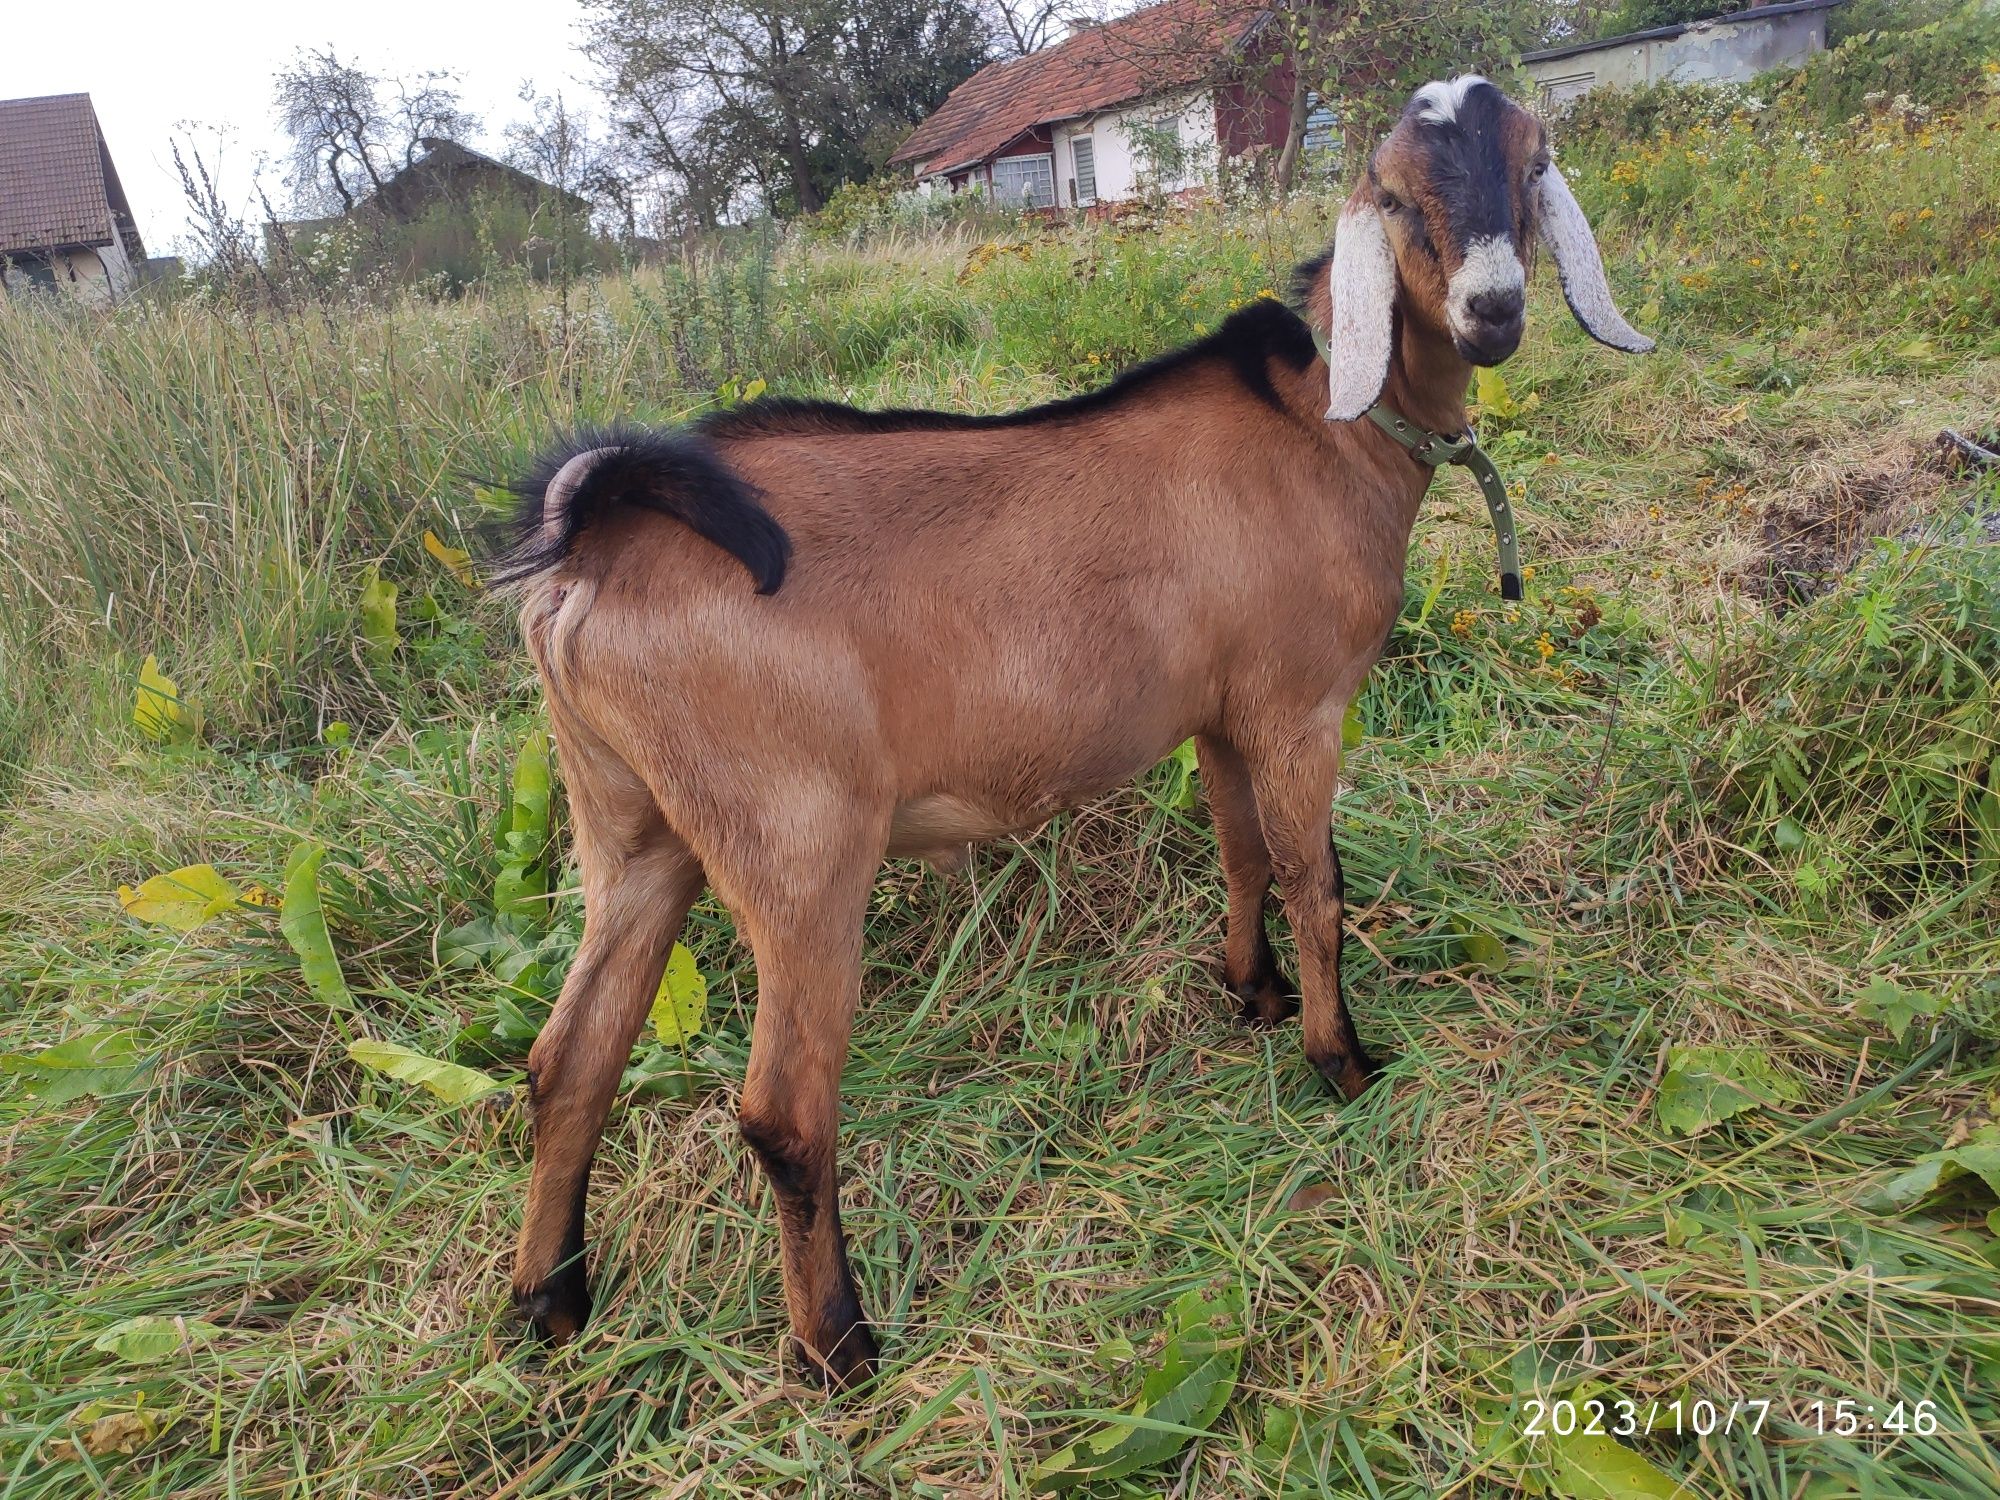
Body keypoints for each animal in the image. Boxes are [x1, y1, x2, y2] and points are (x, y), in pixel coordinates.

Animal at [496, 76, 1640, 1392]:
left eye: (1531, 163)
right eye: (1397, 196)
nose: (1491, 307)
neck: (1320, 426)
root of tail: (594, 541)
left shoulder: (1219, 713)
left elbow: (1240, 853)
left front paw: (1246, 993)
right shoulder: (1297, 704)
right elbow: (1315, 879)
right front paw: (1341, 1061)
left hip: (631, 826)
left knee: (569, 1058)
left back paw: (549, 1300)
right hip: (796, 845)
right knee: (784, 1109)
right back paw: (837, 1344)